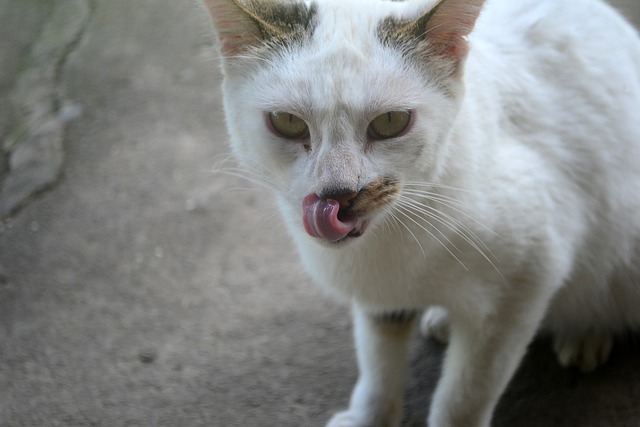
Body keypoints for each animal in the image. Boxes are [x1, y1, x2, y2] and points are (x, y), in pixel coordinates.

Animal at [202, 0, 640, 426]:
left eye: (391, 121)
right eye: (287, 122)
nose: (337, 194)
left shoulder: (523, 283)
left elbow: (465, 396)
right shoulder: (379, 293)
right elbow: (378, 358)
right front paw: (370, 416)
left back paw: (586, 334)